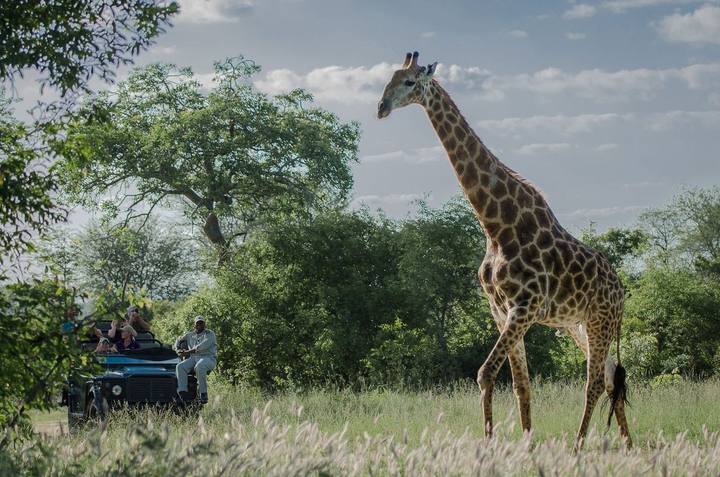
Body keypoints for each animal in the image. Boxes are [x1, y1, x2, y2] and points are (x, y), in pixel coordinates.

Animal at [377, 52, 632, 449]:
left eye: (409, 82)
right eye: (387, 79)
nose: (381, 107)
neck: (496, 225)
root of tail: (622, 291)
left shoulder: (524, 308)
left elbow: (485, 373)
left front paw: (491, 444)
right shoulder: (500, 309)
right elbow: (520, 385)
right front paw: (522, 444)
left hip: (600, 320)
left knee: (593, 384)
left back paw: (578, 447)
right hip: (578, 325)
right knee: (611, 381)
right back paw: (629, 446)